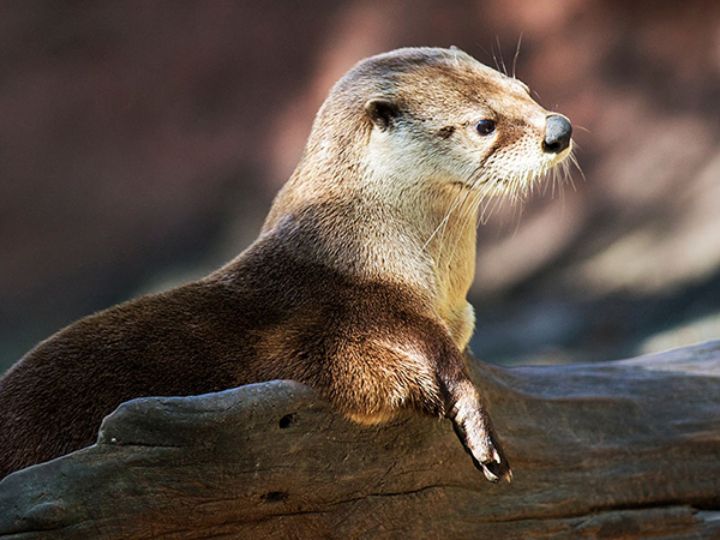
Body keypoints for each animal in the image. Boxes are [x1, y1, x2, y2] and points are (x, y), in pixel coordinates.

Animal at [0, 47, 573, 482]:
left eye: (522, 88)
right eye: (484, 124)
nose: (558, 128)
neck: (368, 250)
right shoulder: (348, 318)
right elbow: (405, 358)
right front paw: (476, 425)